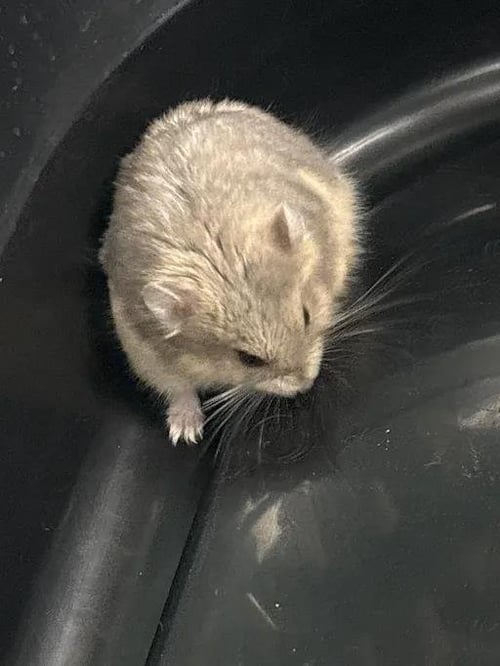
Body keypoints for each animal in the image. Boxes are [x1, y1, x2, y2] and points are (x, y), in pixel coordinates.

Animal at [99, 99, 360, 445]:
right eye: (248, 359)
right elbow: (179, 388)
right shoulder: (145, 351)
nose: (307, 383)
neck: (221, 261)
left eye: (306, 316)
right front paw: (185, 434)